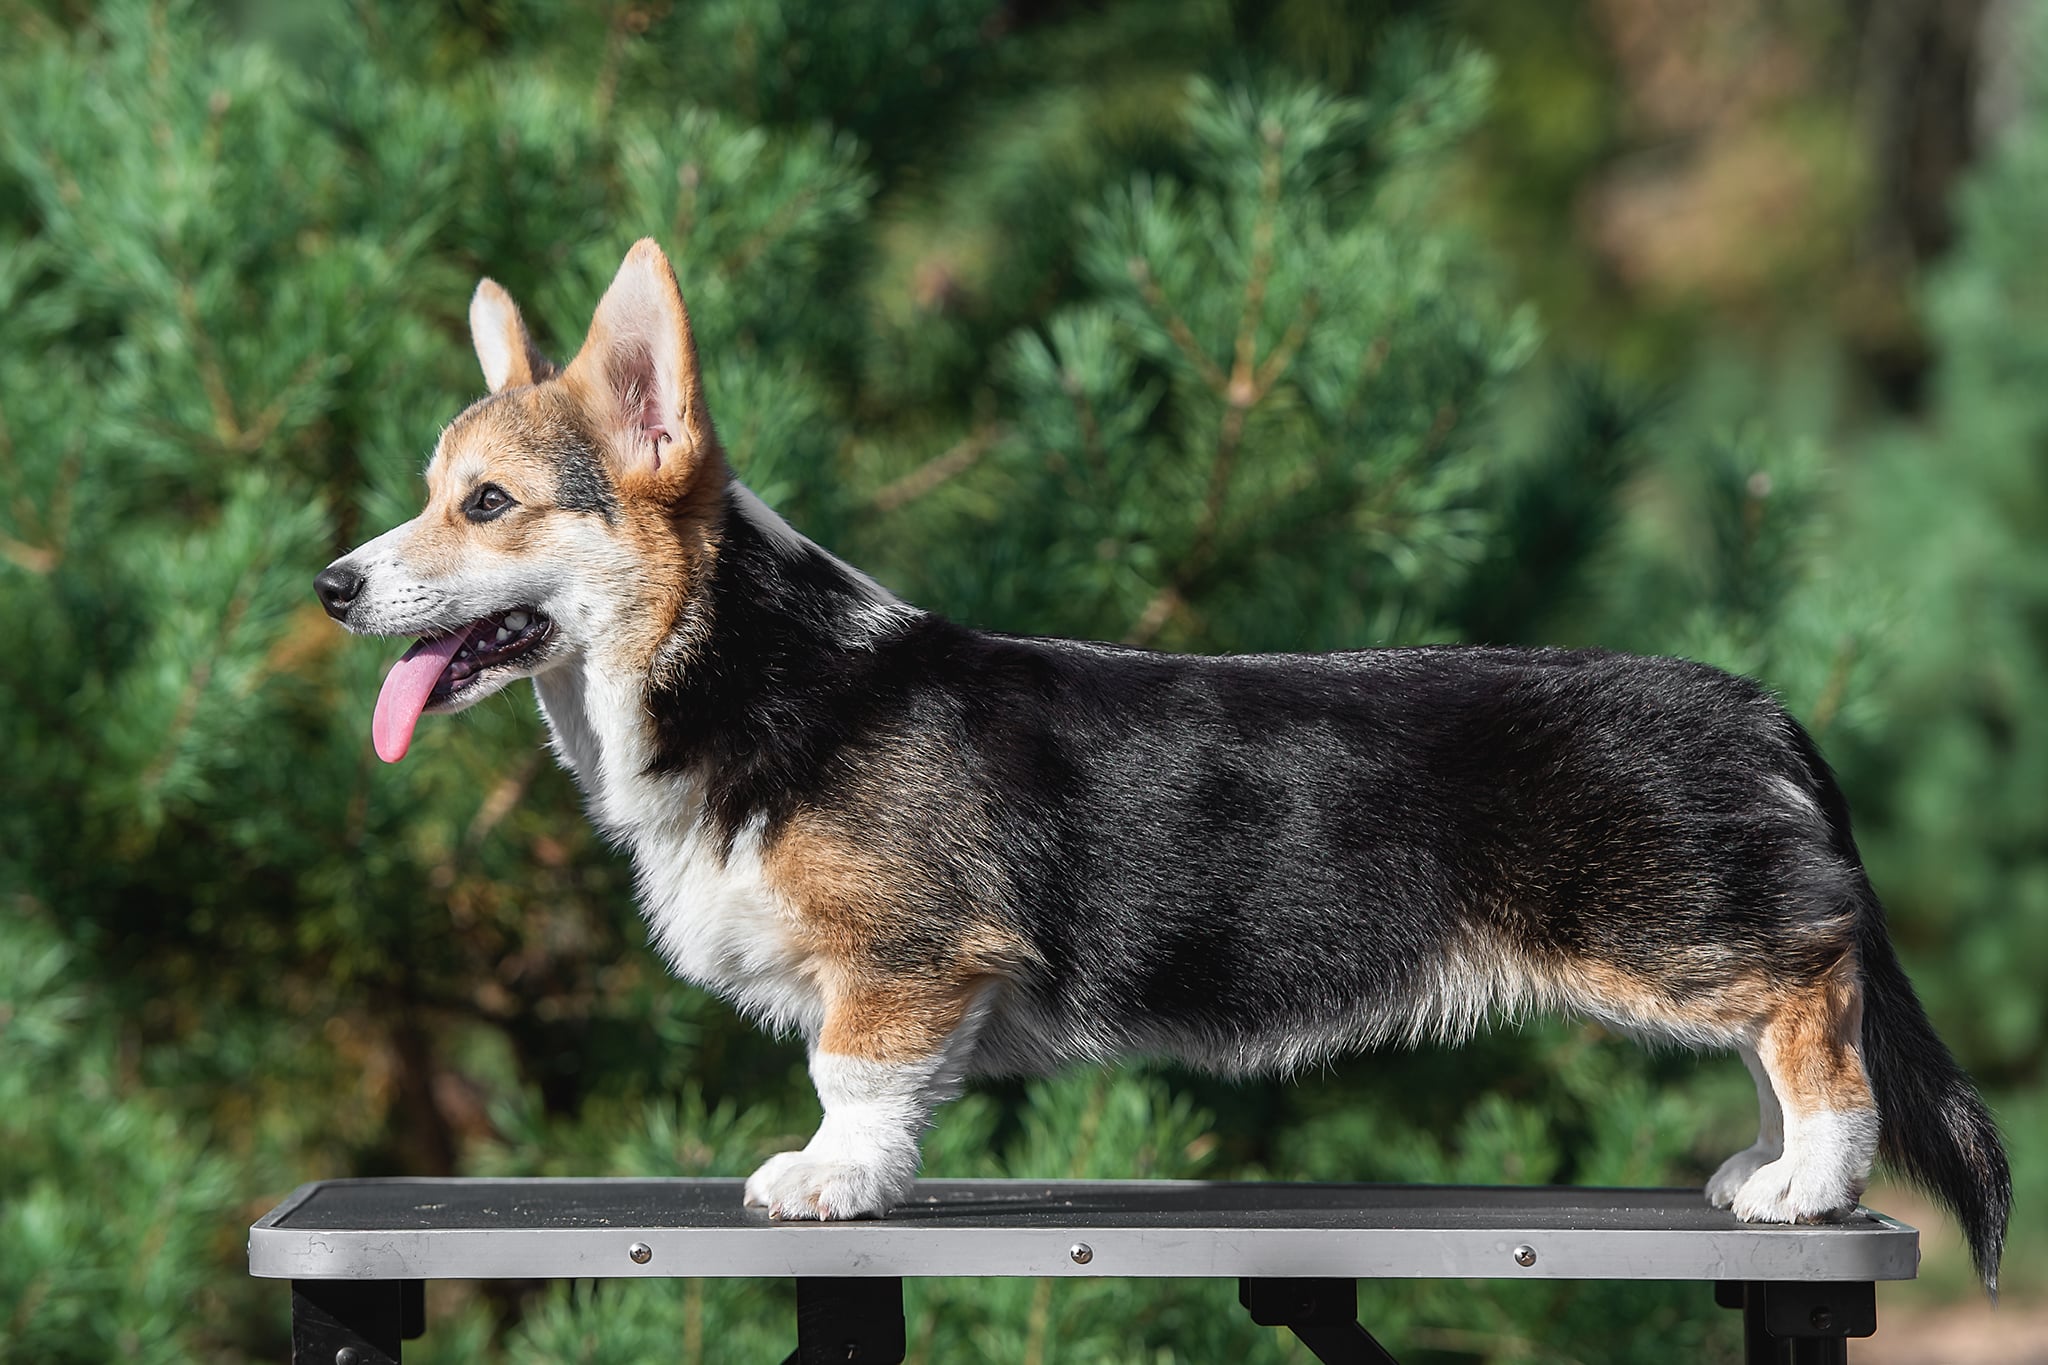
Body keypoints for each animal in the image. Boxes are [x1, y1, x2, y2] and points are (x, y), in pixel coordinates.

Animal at [319, 240, 2015, 1301]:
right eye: (432, 492)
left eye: (486, 504)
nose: (330, 586)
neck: (751, 673)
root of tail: (1758, 704)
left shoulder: (903, 965)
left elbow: (854, 1081)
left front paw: (827, 1180)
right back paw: (1759, 1171)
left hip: (1676, 938)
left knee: (1818, 1018)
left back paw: (1807, 1185)